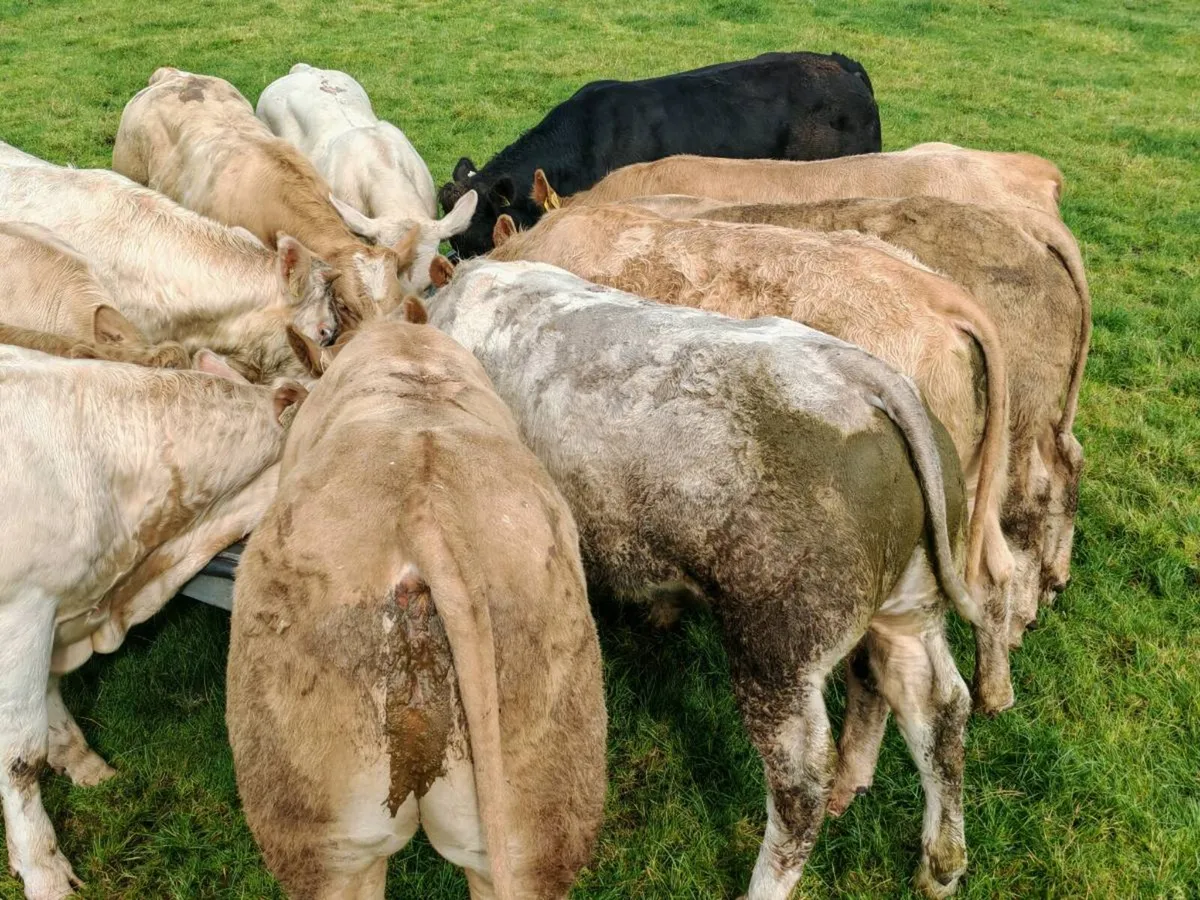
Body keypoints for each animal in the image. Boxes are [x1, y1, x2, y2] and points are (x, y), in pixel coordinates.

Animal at [0, 346, 306, 900]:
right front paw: (43, 871)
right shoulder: (22, 609)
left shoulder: (55, 609)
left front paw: (85, 768)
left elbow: (50, 698)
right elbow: (19, 758)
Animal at [425, 259, 973, 898]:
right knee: (936, 704)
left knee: (802, 779)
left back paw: (768, 881)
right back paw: (939, 865)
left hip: (778, 642)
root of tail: (862, 376)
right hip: (911, 600)